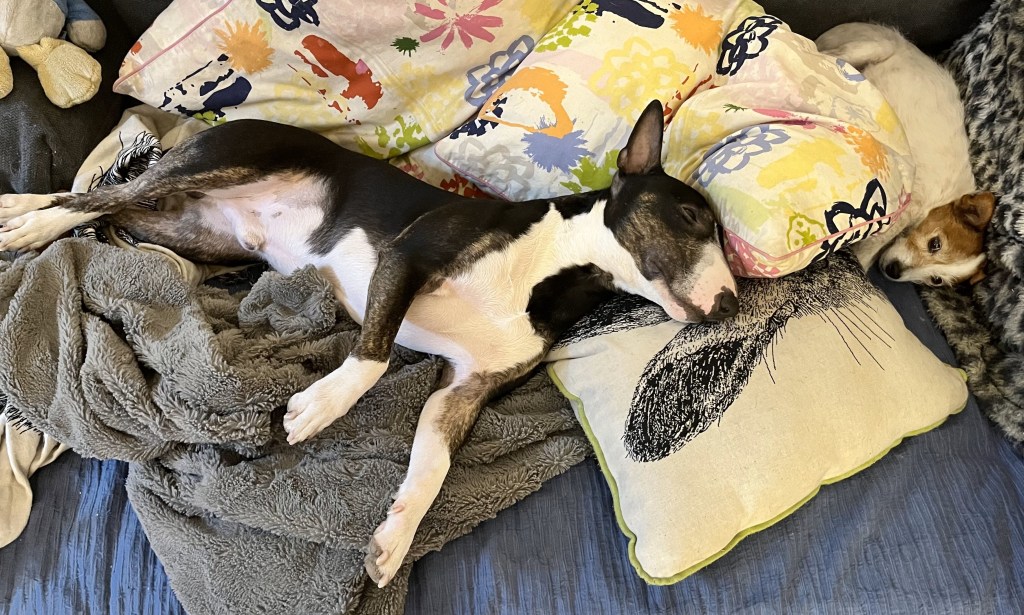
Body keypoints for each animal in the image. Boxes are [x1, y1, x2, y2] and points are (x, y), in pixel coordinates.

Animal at [0, 100, 738, 587]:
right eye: (692, 215)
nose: (733, 302)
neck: (551, 271)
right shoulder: (408, 256)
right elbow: (376, 352)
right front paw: (320, 407)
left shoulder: (462, 389)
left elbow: (432, 465)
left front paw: (394, 538)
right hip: (219, 166)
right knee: (99, 197)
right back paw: (24, 222)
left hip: (195, 235)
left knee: (119, 205)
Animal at [815, 23, 995, 286]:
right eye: (935, 244)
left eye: (936, 280)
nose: (893, 271)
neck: (937, 203)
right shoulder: (901, 209)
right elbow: (868, 250)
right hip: (876, 46)